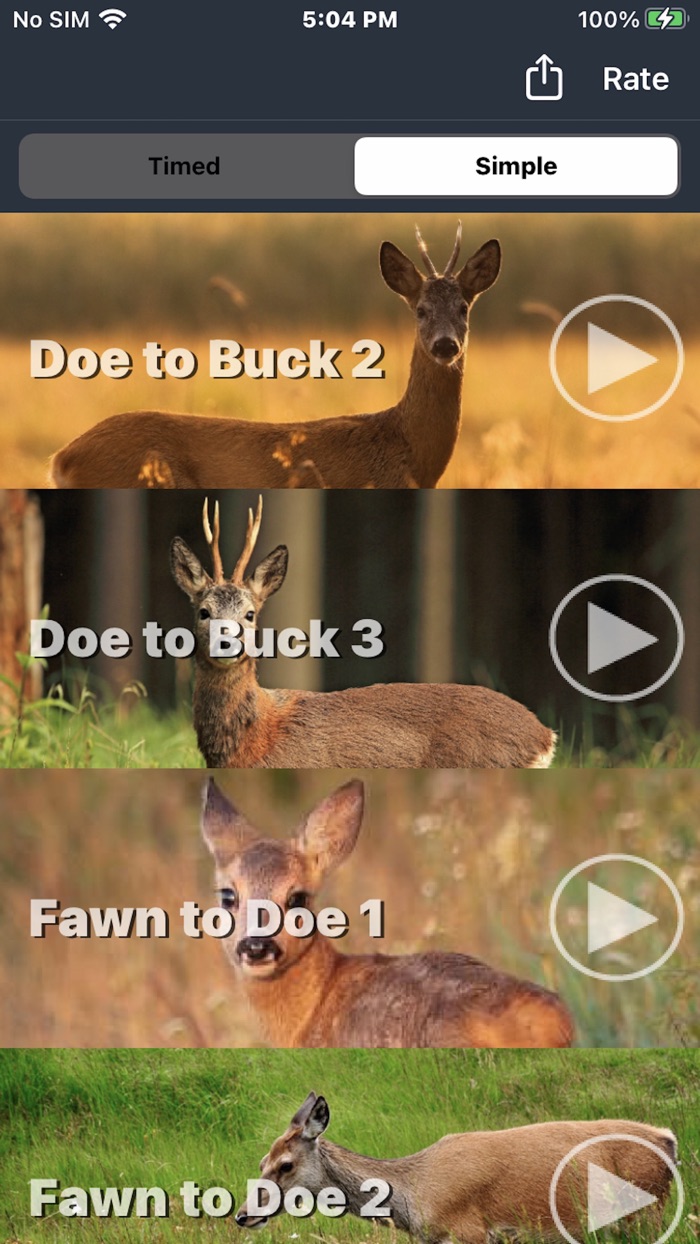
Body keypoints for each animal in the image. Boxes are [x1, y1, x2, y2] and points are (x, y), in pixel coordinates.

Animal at [236, 1092, 678, 1243]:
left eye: (286, 1165)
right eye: (260, 1161)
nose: (242, 1215)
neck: (412, 1194)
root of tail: (668, 1138)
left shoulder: (471, 1232)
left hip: (647, 1214)